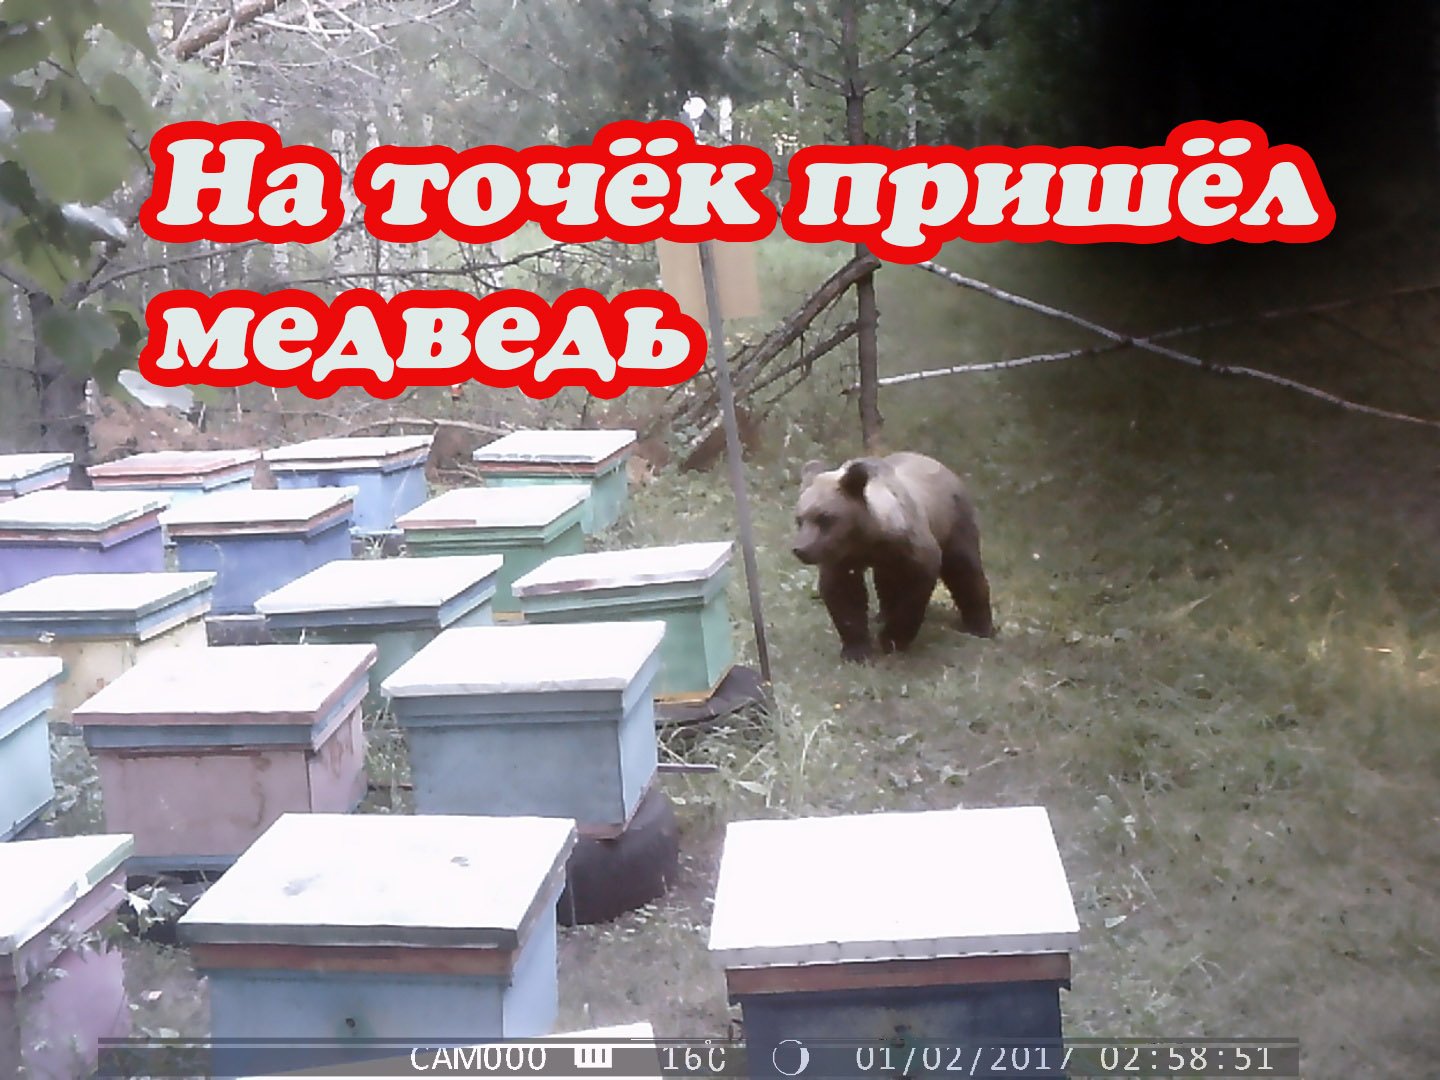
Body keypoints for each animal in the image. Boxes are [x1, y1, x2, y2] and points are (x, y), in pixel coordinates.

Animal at [791, 451, 994, 662]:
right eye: (800, 519)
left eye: (824, 518)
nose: (801, 549)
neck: (869, 537)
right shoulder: (844, 556)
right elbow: (844, 593)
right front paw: (856, 649)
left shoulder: (911, 548)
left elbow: (913, 592)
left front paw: (892, 640)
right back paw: (882, 614)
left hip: (955, 522)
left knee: (964, 569)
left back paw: (980, 626)